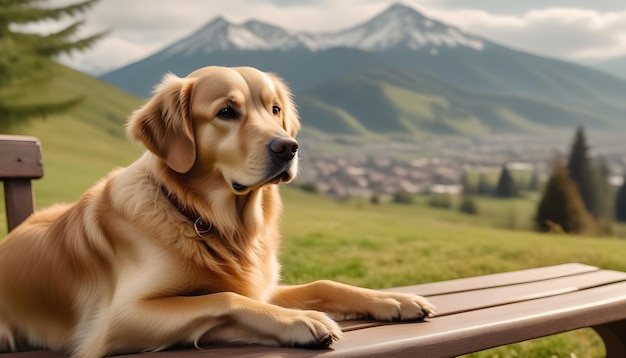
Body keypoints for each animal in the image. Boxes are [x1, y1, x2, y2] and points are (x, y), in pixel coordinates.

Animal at [0, 66, 432, 356]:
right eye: (227, 112)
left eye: (275, 109)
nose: (288, 147)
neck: (209, 220)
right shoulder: (118, 320)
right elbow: (223, 298)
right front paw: (300, 321)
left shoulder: (264, 286)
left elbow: (323, 285)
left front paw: (394, 301)